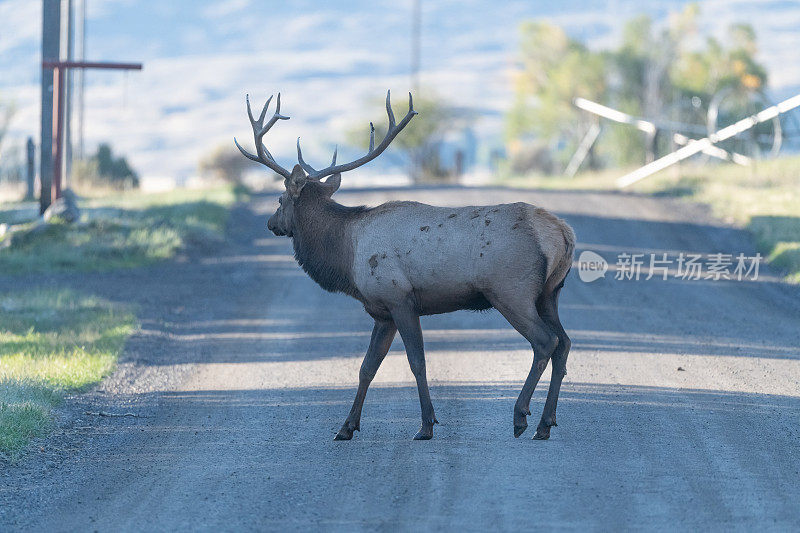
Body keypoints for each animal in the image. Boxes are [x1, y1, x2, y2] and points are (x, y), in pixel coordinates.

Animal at [233, 92, 576, 440]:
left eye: (280, 200)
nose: (271, 223)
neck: (345, 254)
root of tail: (562, 233)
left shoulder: (399, 299)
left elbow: (417, 362)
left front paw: (426, 425)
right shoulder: (382, 312)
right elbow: (366, 367)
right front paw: (347, 427)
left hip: (511, 291)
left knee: (545, 342)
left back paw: (521, 416)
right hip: (550, 292)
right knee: (564, 343)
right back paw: (545, 423)